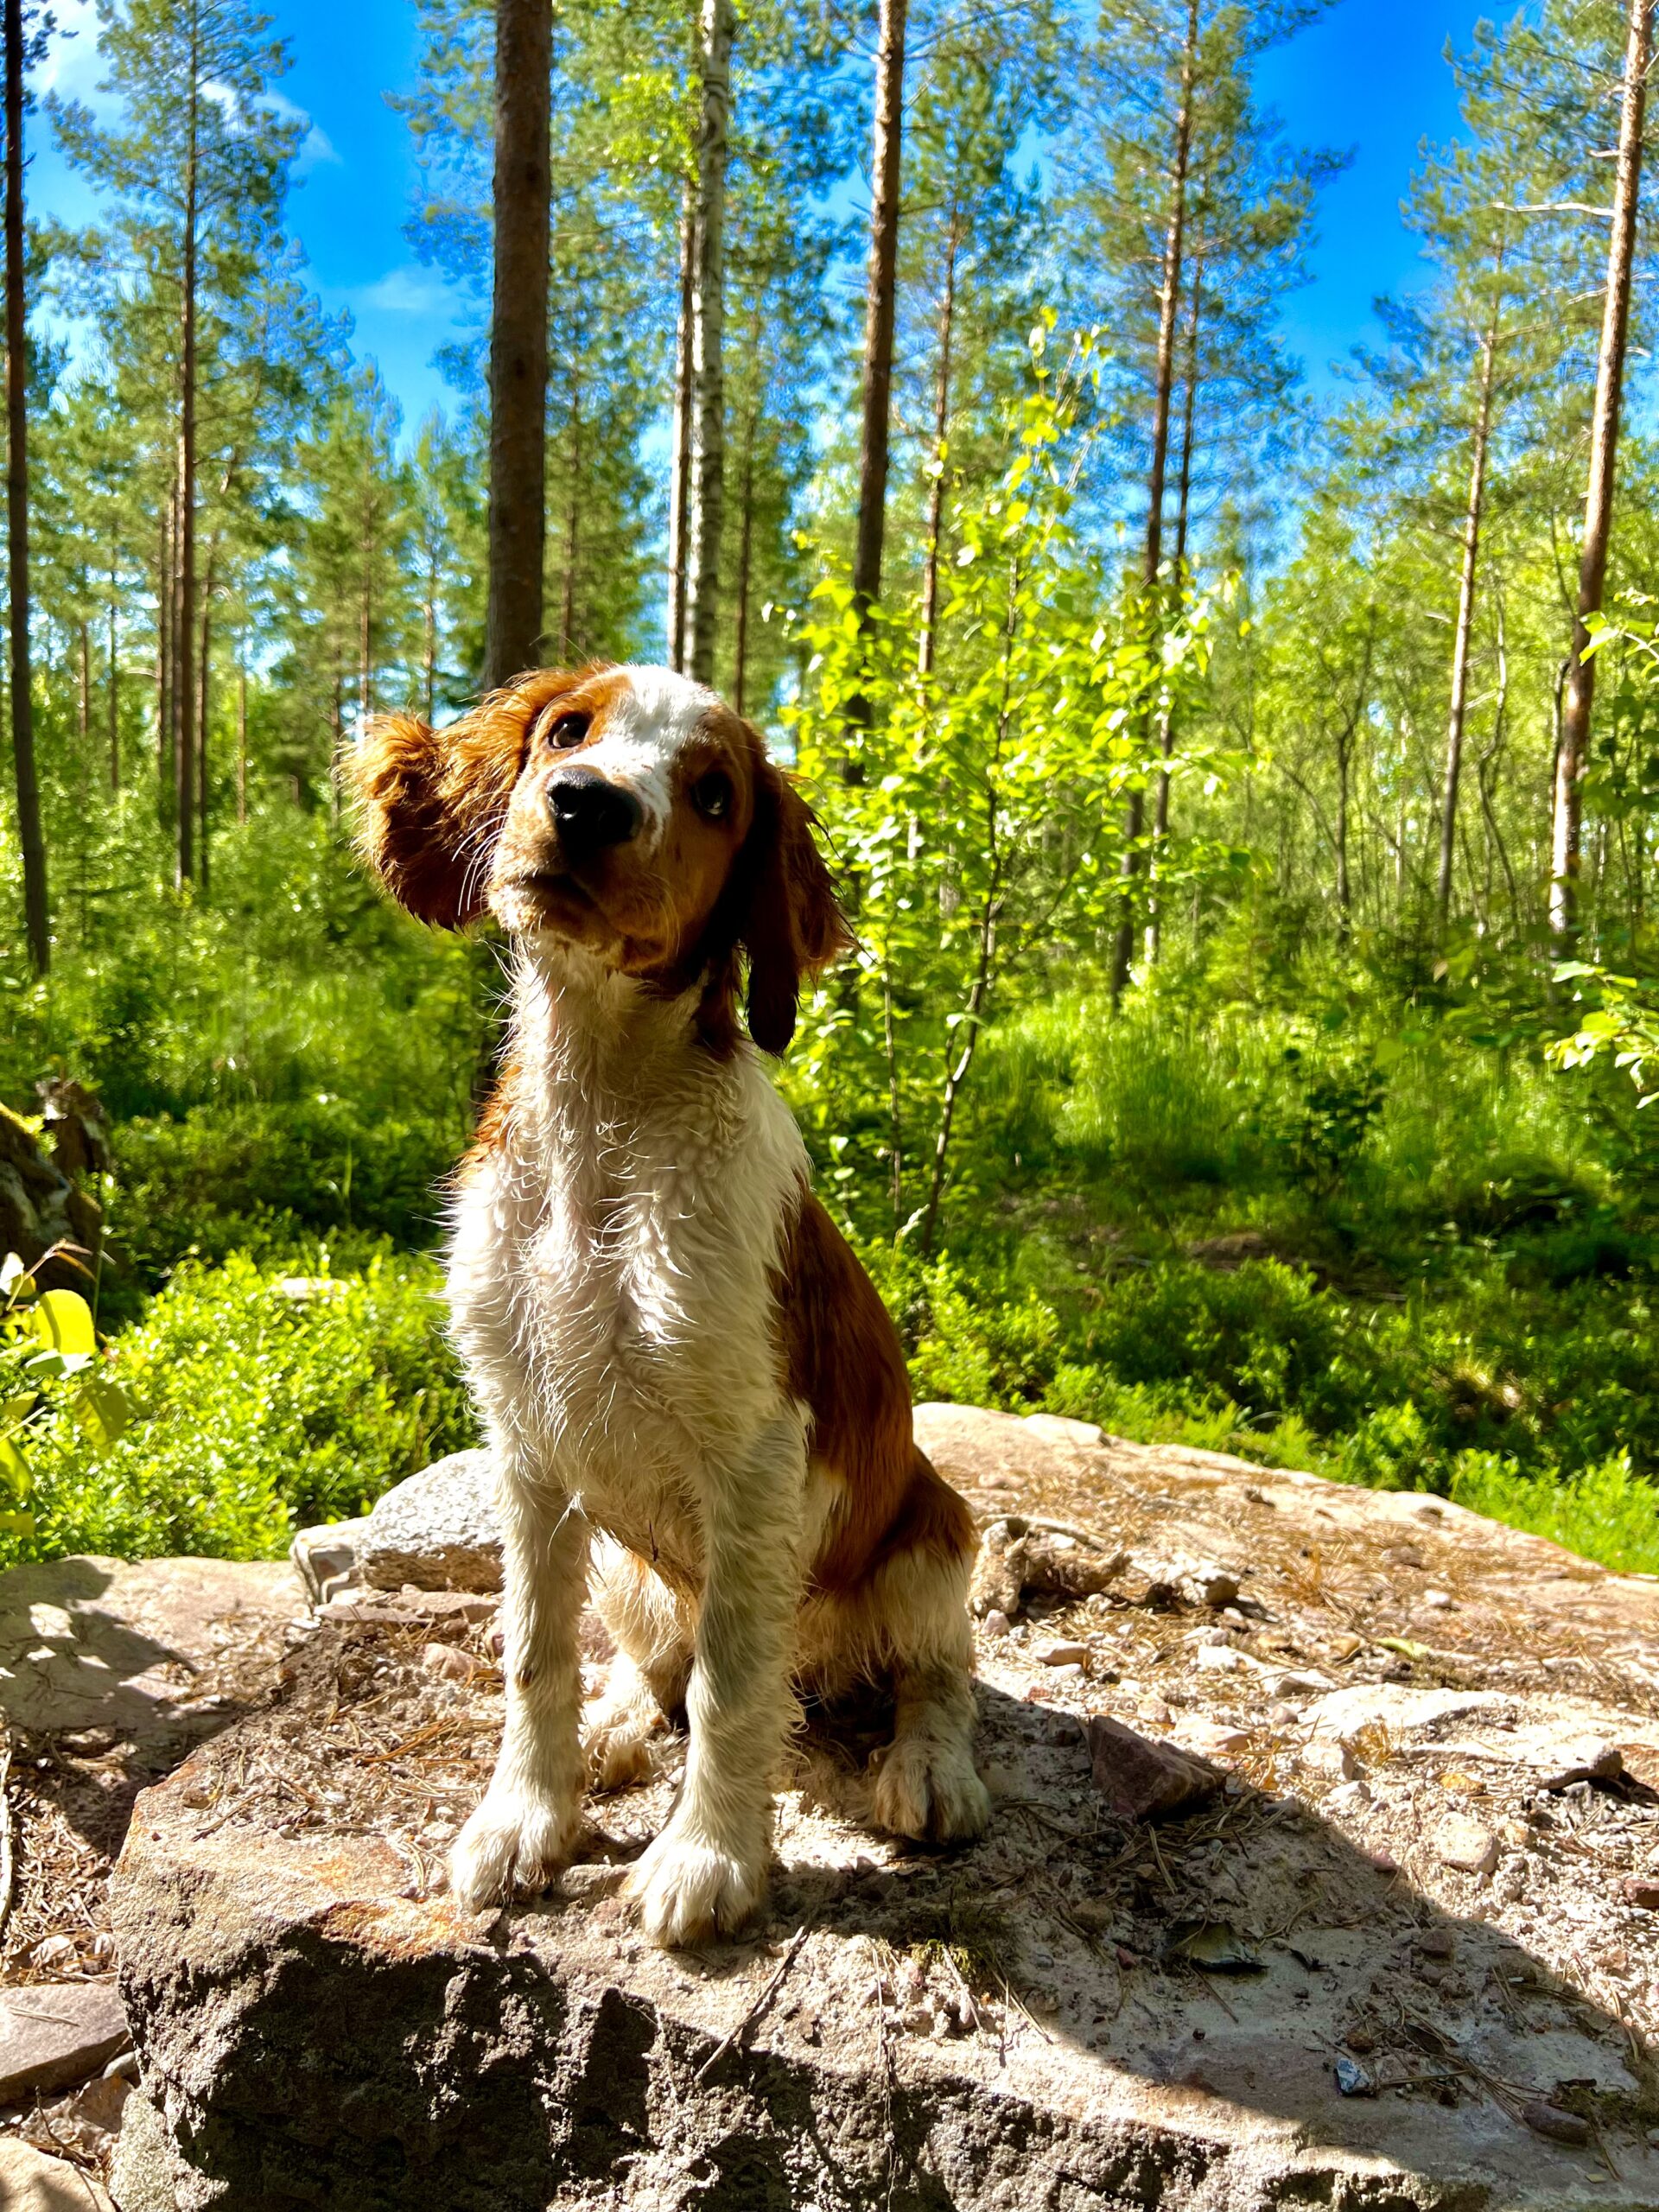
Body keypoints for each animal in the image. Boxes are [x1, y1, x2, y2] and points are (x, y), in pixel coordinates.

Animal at [352, 664, 995, 1946]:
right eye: (567, 730)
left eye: (712, 794)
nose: (587, 804)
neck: (603, 1120)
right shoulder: (525, 1444)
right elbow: (534, 1653)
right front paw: (525, 1817)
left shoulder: (756, 1453)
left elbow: (735, 1682)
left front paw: (707, 1860)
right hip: (625, 1563)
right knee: (651, 1664)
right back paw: (612, 1725)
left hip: (933, 1535)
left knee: (936, 1671)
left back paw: (928, 1767)